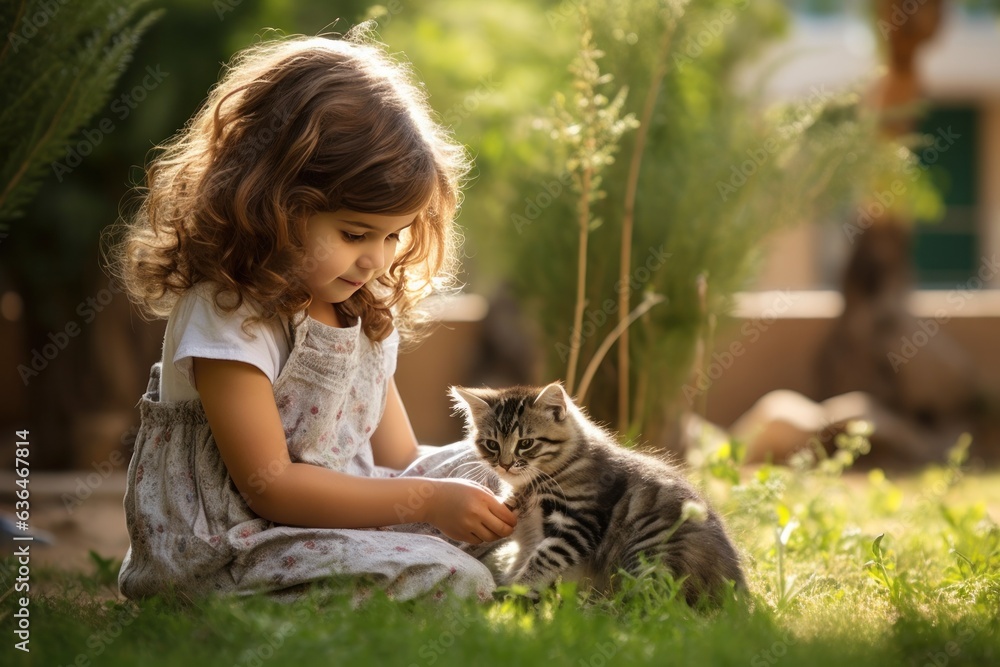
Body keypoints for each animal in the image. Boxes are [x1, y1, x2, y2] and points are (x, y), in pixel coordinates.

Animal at [452, 380, 744, 604]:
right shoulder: (519, 518)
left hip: (650, 549)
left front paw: (517, 591)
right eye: (491, 444)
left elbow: (541, 559)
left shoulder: (578, 523)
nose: (504, 464)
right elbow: (502, 547)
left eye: (526, 443)